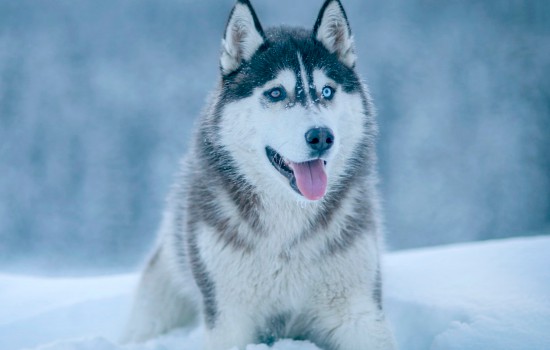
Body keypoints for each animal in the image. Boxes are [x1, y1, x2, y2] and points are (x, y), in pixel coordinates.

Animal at [124, 0, 396, 350]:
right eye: (276, 93)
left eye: (326, 91)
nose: (322, 136)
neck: (288, 230)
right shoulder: (229, 317)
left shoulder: (358, 307)